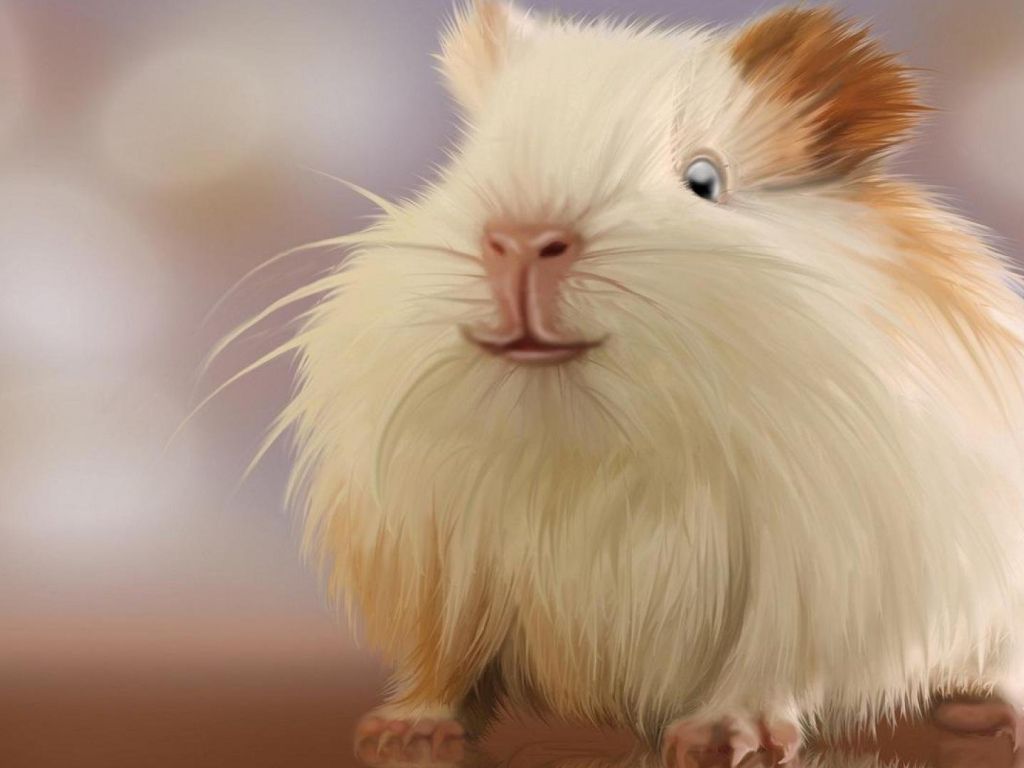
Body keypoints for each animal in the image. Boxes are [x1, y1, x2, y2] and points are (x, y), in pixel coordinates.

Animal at [246, 1, 1024, 764]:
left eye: (705, 180)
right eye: (464, 165)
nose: (521, 243)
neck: (589, 441)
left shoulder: (814, 581)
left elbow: (764, 667)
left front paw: (722, 737)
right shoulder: (444, 569)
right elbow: (446, 668)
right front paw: (400, 731)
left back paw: (981, 711)